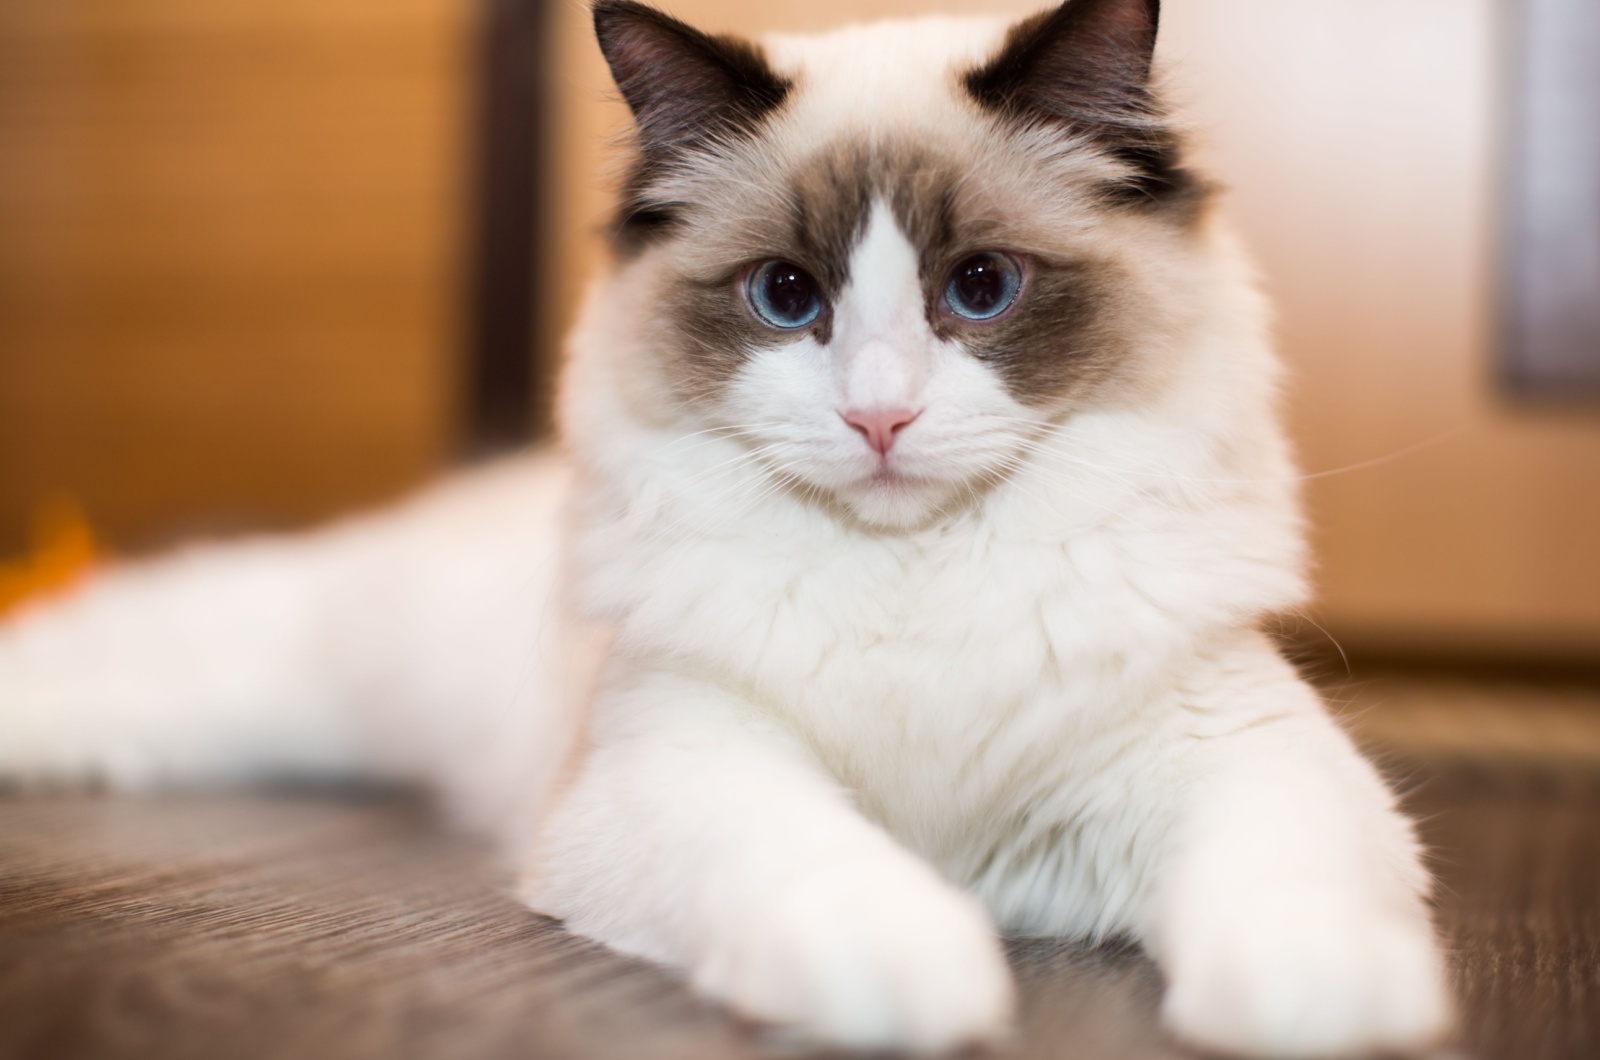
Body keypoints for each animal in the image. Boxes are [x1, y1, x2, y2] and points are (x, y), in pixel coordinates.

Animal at [0, 0, 1452, 1056]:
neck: (915, 577)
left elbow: (1291, 898)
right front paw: (917, 981)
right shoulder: (686, 766)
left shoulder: (1236, 756)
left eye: (980, 288)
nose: (879, 417)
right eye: (786, 296)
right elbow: (828, 871)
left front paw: (1319, 1013)